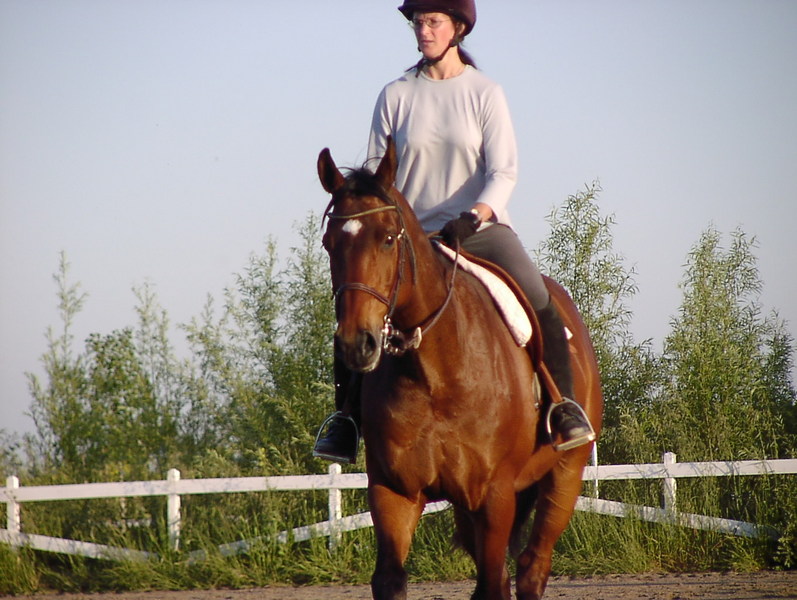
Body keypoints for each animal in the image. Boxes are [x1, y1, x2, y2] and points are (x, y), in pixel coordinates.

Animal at [317, 138, 603, 600]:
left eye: (388, 238)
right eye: (328, 243)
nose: (355, 345)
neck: (433, 372)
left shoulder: (495, 496)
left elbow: (491, 583)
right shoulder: (394, 491)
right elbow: (390, 579)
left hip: (565, 475)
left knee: (531, 567)